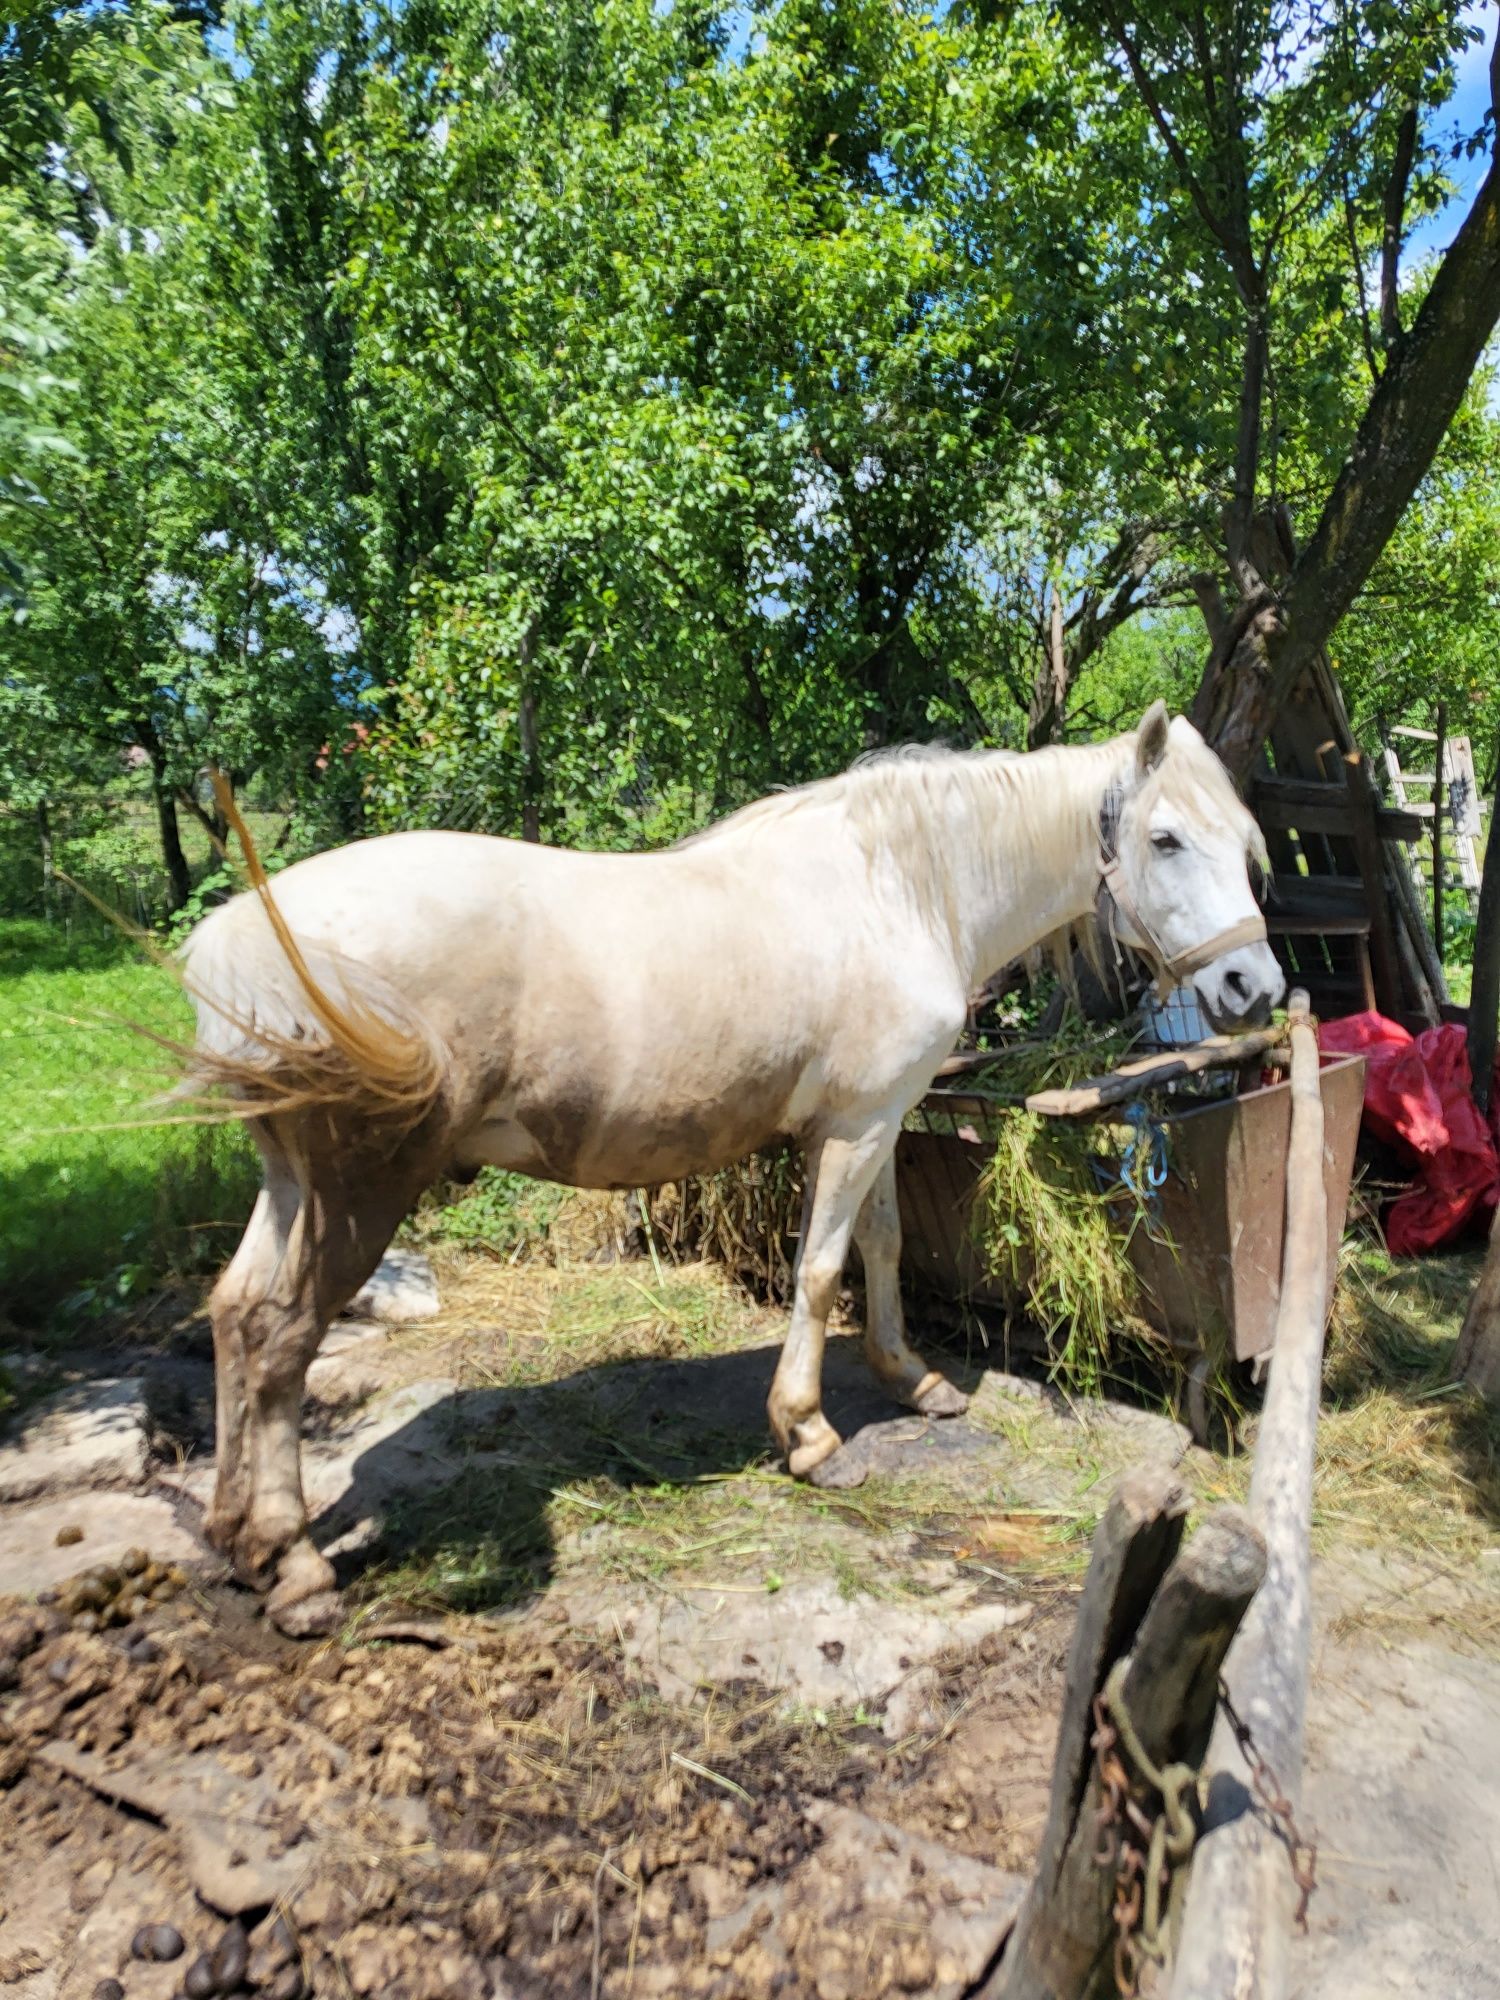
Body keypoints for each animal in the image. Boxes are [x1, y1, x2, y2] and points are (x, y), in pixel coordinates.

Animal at [185, 700, 1280, 1624]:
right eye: (1166, 839)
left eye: (1243, 843)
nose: (1254, 986)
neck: (903, 887)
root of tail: (234, 944)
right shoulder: (852, 1129)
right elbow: (822, 1269)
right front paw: (809, 1436)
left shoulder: (879, 1117)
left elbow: (883, 1246)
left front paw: (911, 1379)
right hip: (357, 1192)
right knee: (280, 1335)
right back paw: (294, 1565)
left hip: (291, 1186)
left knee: (236, 1313)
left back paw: (237, 1535)